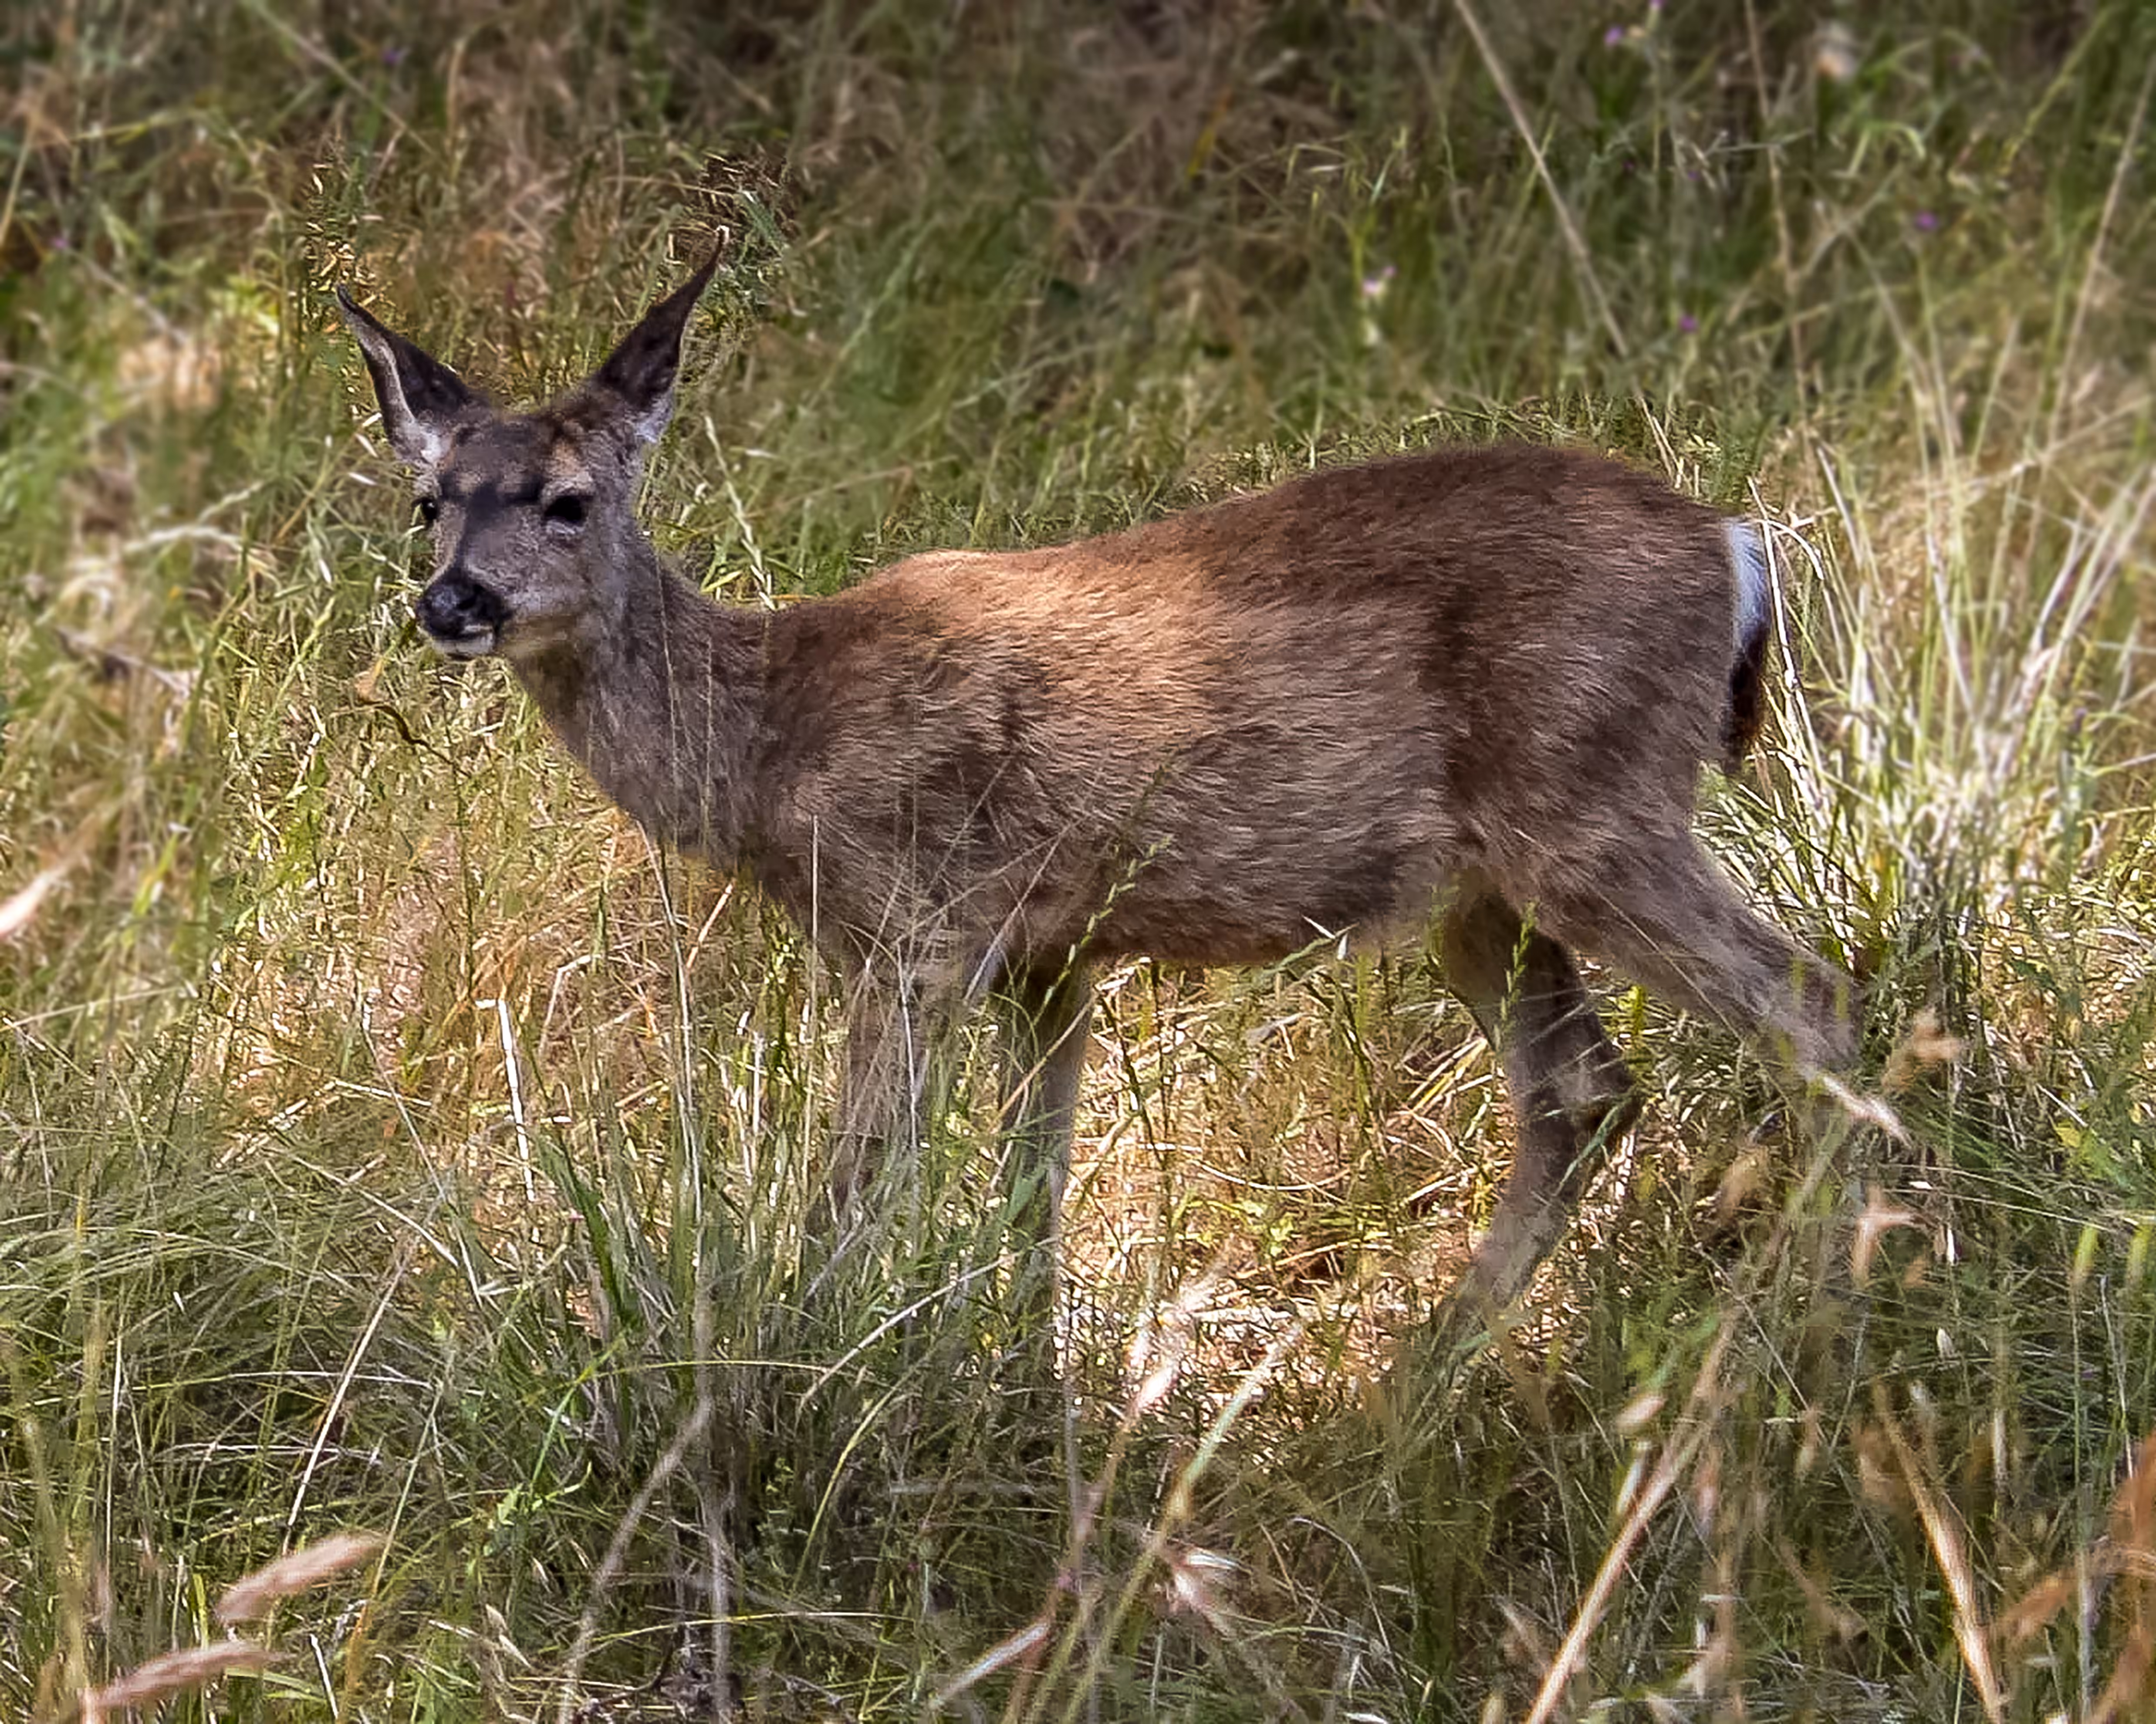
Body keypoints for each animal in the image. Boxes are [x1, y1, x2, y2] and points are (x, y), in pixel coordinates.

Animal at [337, 251, 1857, 1338]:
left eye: (572, 499)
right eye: (431, 500)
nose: (452, 600)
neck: (777, 735)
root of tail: (1736, 544)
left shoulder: (916, 929)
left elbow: (858, 1193)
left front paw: (805, 1359)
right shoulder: (1049, 951)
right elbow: (1032, 1195)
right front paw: (1019, 1395)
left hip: (1594, 804)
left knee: (1811, 1005)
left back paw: (1820, 1322)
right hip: (1482, 889)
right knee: (1583, 1088)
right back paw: (1432, 1374)